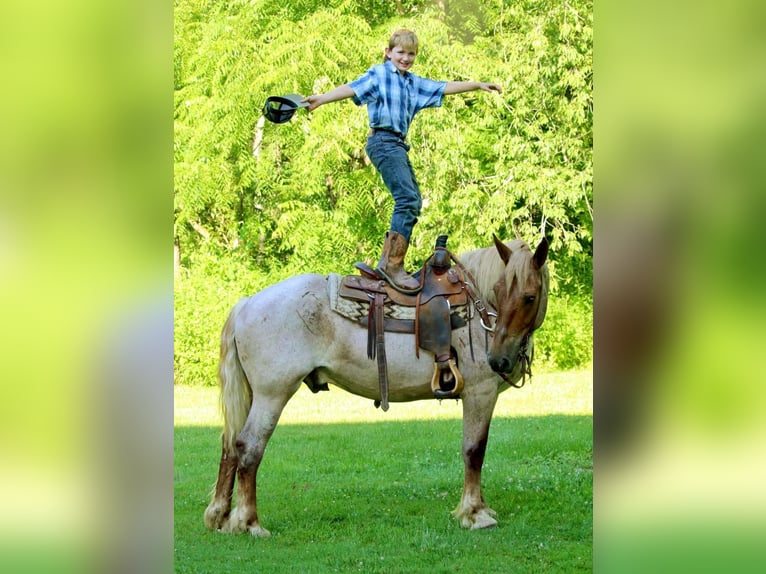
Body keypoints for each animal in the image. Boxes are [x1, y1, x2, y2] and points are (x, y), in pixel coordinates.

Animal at [206, 236, 552, 536]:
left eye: (529, 297)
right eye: (498, 289)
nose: (498, 359)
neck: (477, 305)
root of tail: (247, 303)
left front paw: (480, 509)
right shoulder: (479, 392)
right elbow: (474, 450)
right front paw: (475, 513)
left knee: (230, 446)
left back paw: (220, 516)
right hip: (272, 395)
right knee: (248, 446)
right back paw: (249, 522)